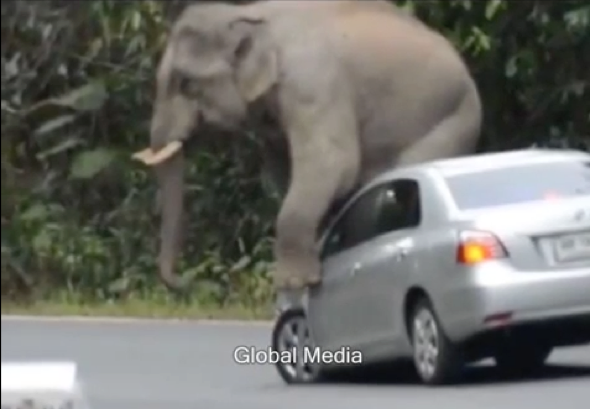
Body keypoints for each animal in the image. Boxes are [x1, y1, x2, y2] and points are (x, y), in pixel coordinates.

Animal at [134, 1, 486, 292]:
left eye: (186, 84)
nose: (187, 280)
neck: (247, 12)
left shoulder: (313, 84)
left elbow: (333, 164)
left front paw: (293, 283)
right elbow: (287, 172)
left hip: (453, 120)